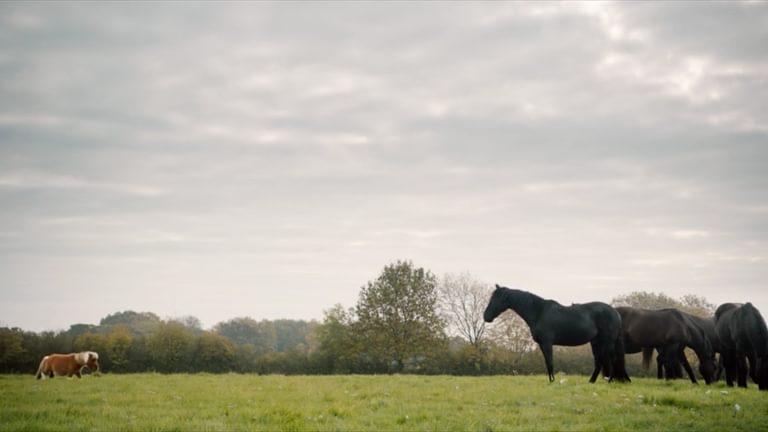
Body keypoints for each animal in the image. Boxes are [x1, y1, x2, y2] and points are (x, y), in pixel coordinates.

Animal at [483, 285, 630, 383]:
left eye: (496, 299)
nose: (486, 316)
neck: (538, 312)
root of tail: (615, 312)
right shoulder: (542, 344)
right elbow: (547, 362)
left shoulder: (547, 343)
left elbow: (550, 361)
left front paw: (552, 381)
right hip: (596, 342)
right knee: (599, 362)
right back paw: (591, 382)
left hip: (608, 342)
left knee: (612, 359)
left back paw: (609, 381)